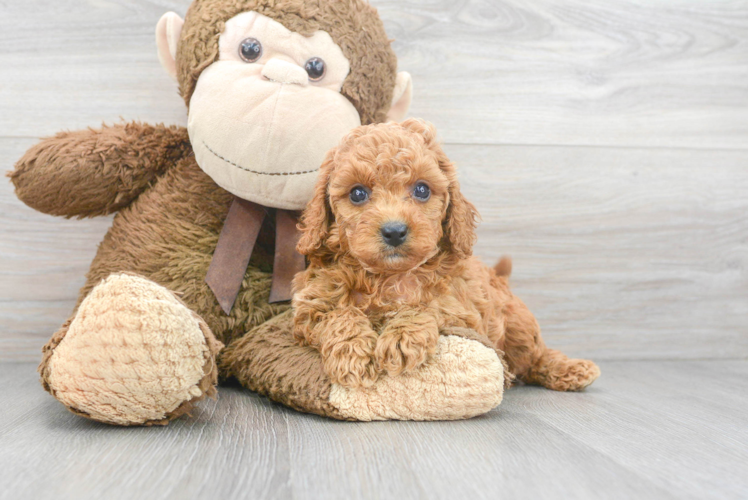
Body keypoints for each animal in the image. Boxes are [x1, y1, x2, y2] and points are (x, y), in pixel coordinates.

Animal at [292, 118, 600, 390]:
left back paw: (572, 369)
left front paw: (402, 337)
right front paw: (353, 355)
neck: (388, 277)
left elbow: (427, 306)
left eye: (422, 190)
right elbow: (339, 315)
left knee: (535, 355)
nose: (394, 231)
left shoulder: (462, 312)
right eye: (357, 193)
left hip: (517, 325)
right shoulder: (311, 306)